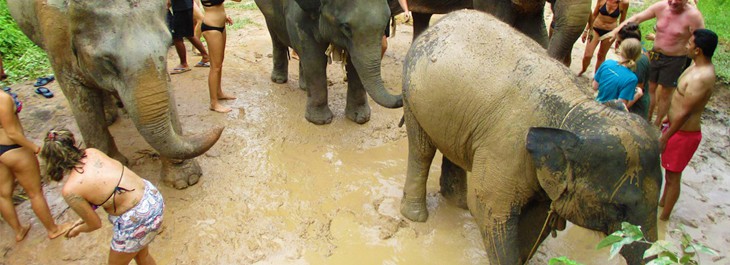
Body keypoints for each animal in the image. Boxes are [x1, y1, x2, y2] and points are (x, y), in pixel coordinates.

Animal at [7, 0, 223, 188]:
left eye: (167, 43)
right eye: (107, 61)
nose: (219, 127)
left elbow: (165, 89)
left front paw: (186, 180)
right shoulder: (54, 29)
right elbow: (79, 94)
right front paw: (106, 173)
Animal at [256, 0, 404, 125]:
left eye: (386, 24)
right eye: (346, 27)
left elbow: (354, 63)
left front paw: (360, 118)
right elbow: (313, 56)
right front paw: (320, 121)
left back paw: (305, 88)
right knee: (276, 35)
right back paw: (279, 80)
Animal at [398, 10, 660, 264]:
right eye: (619, 209)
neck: (575, 112)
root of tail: (440, 22)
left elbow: (537, 219)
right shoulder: (507, 150)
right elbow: (488, 209)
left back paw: (457, 204)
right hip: (412, 95)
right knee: (423, 150)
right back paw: (417, 216)